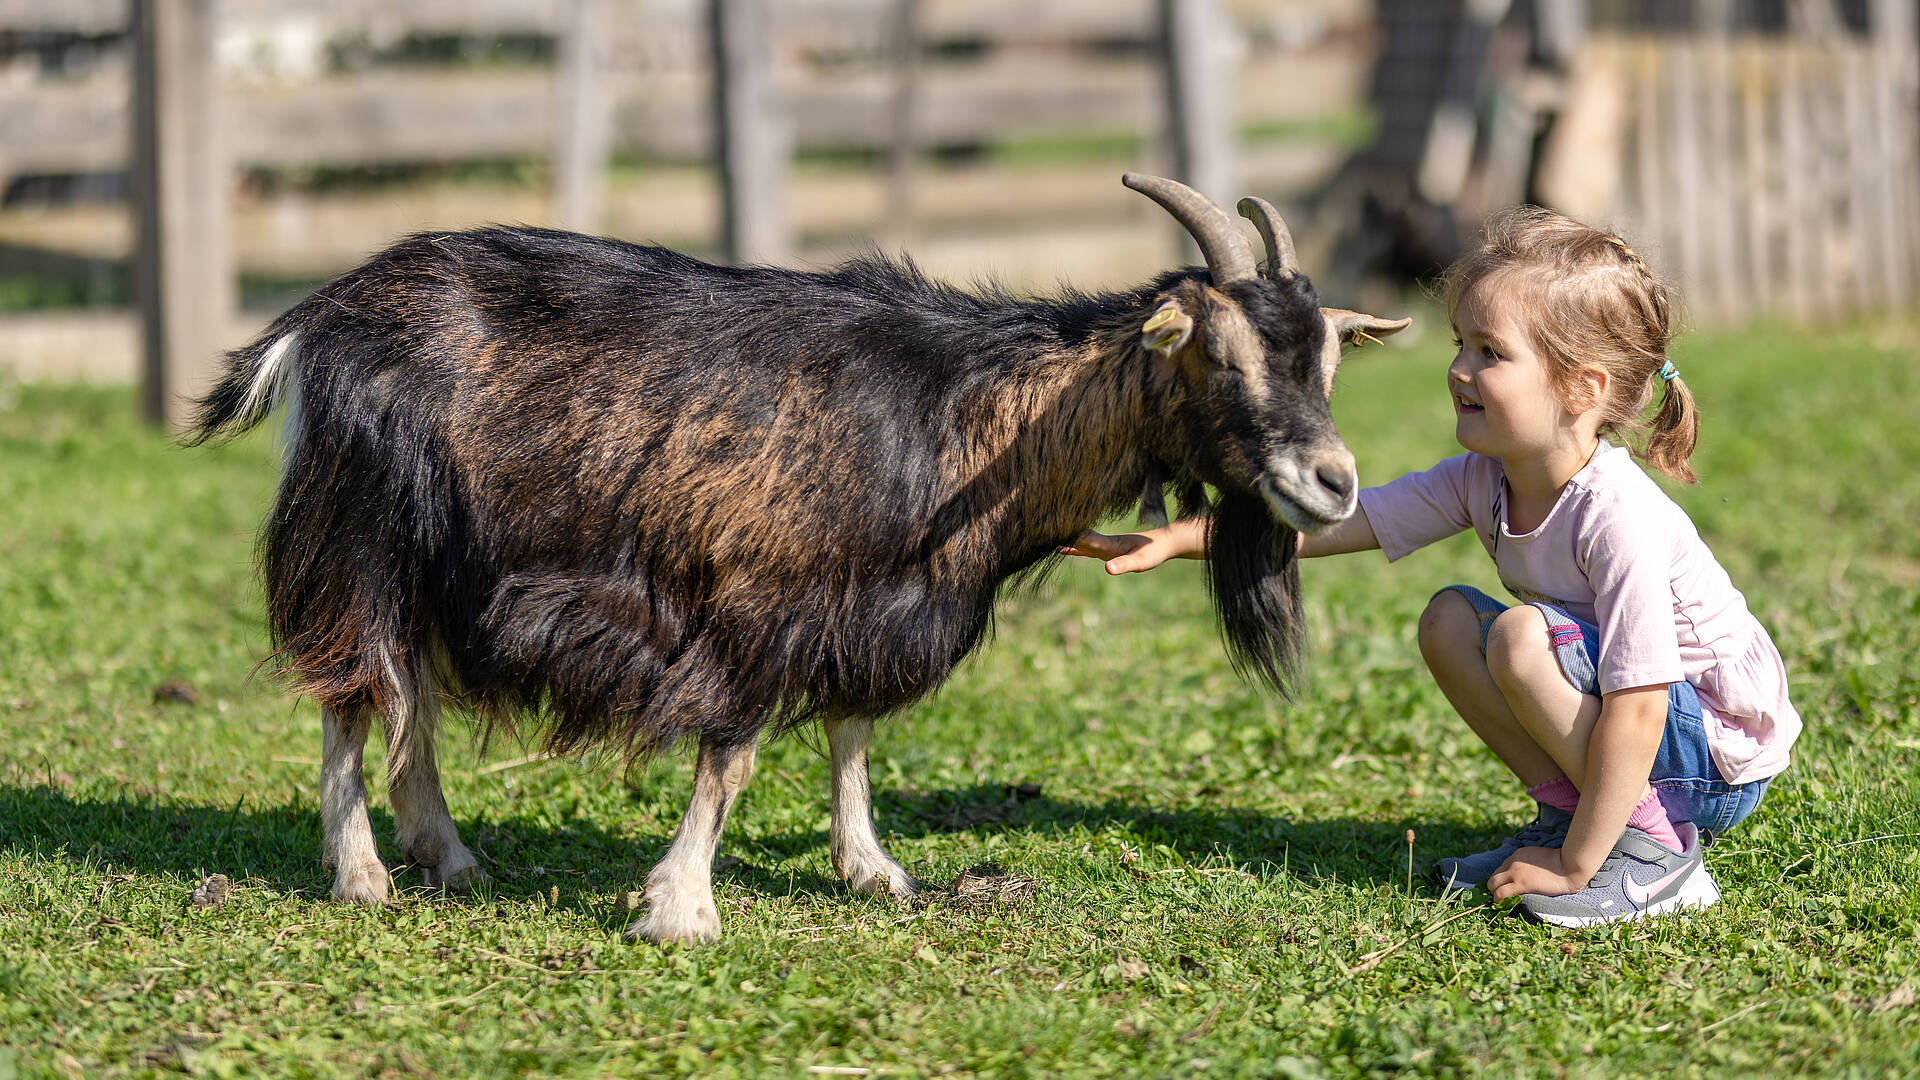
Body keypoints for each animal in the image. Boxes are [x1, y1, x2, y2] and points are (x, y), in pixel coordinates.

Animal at [191, 171, 1413, 937]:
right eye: (1219, 354)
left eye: (1324, 362)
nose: (1334, 484)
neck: (966, 416)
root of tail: (317, 318)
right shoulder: (753, 599)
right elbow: (730, 754)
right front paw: (681, 909)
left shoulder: (865, 601)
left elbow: (853, 730)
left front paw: (872, 869)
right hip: (361, 532)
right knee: (354, 693)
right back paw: (363, 878)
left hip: (443, 562)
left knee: (411, 696)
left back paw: (447, 855)